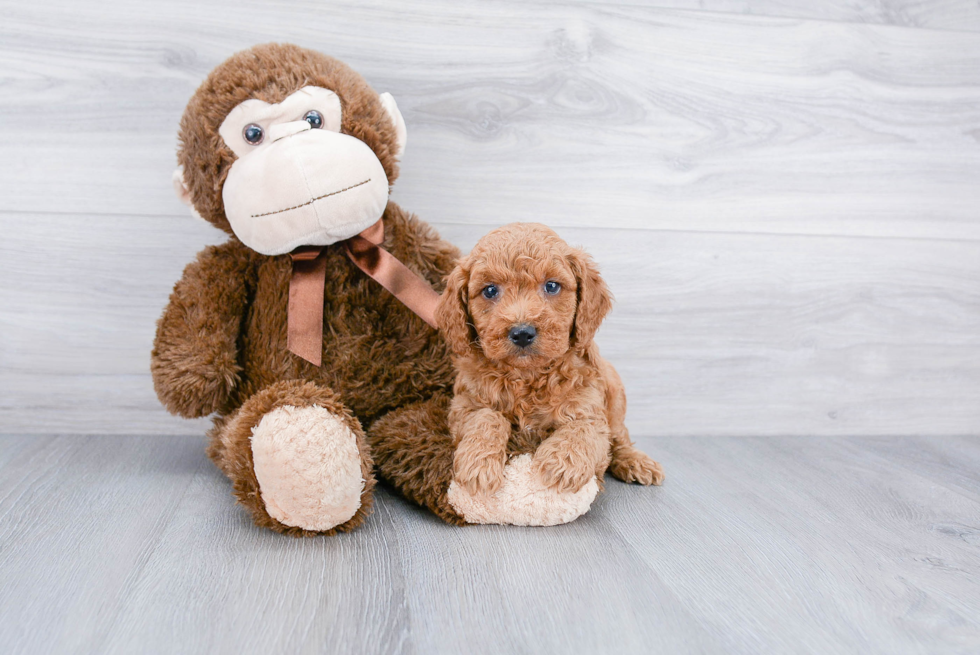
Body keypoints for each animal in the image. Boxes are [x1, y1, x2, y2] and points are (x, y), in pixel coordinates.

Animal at [438, 226, 664, 498]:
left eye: (552, 286)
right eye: (490, 290)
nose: (522, 333)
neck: (527, 376)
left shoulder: (589, 408)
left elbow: (582, 429)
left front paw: (561, 464)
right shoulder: (464, 404)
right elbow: (486, 417)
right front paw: (478, 462)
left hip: (615, 392)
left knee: (620, 437)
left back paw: (636, 461)